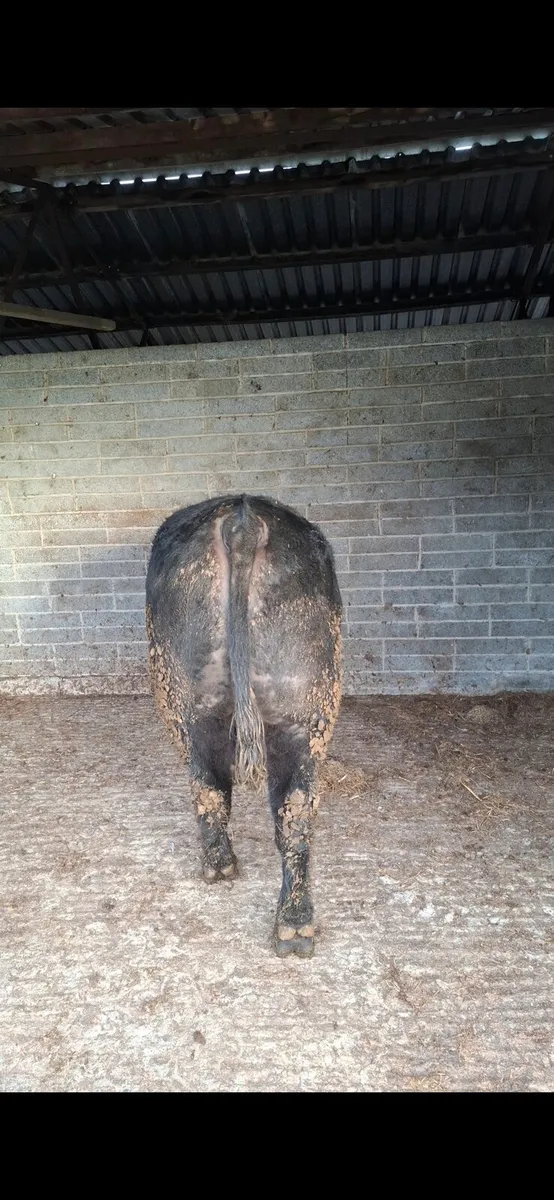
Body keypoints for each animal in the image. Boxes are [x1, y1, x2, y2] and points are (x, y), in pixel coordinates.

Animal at [146, 493, 342, 958]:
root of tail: (242, 519)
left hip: (189, 702)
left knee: (209, 784)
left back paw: (220, 869)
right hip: (302, 704)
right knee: (295, 808)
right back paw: (294, 927)